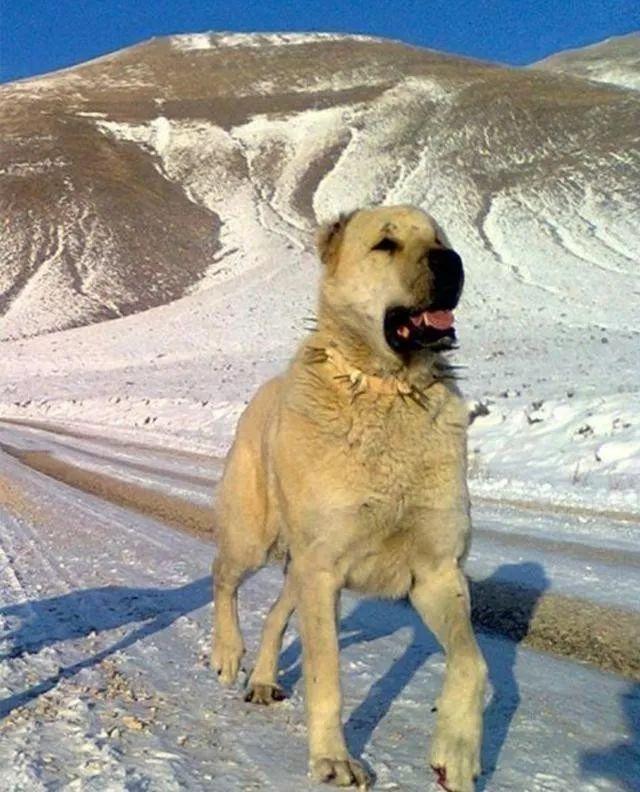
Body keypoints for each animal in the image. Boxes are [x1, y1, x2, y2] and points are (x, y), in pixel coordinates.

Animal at [210, 206, 484, 792]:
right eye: (385, 244)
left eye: (439, 239)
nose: (452, 263)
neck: (387, 388)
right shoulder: (325, 571)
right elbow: (327, 674)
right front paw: (333, 760)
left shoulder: (437, 572)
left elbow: (473, 663)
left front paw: (456, 753)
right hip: (255, 537)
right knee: (223, 577)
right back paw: (227, 652)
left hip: (300, 567)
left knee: (275, 613)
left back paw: (262, 679)